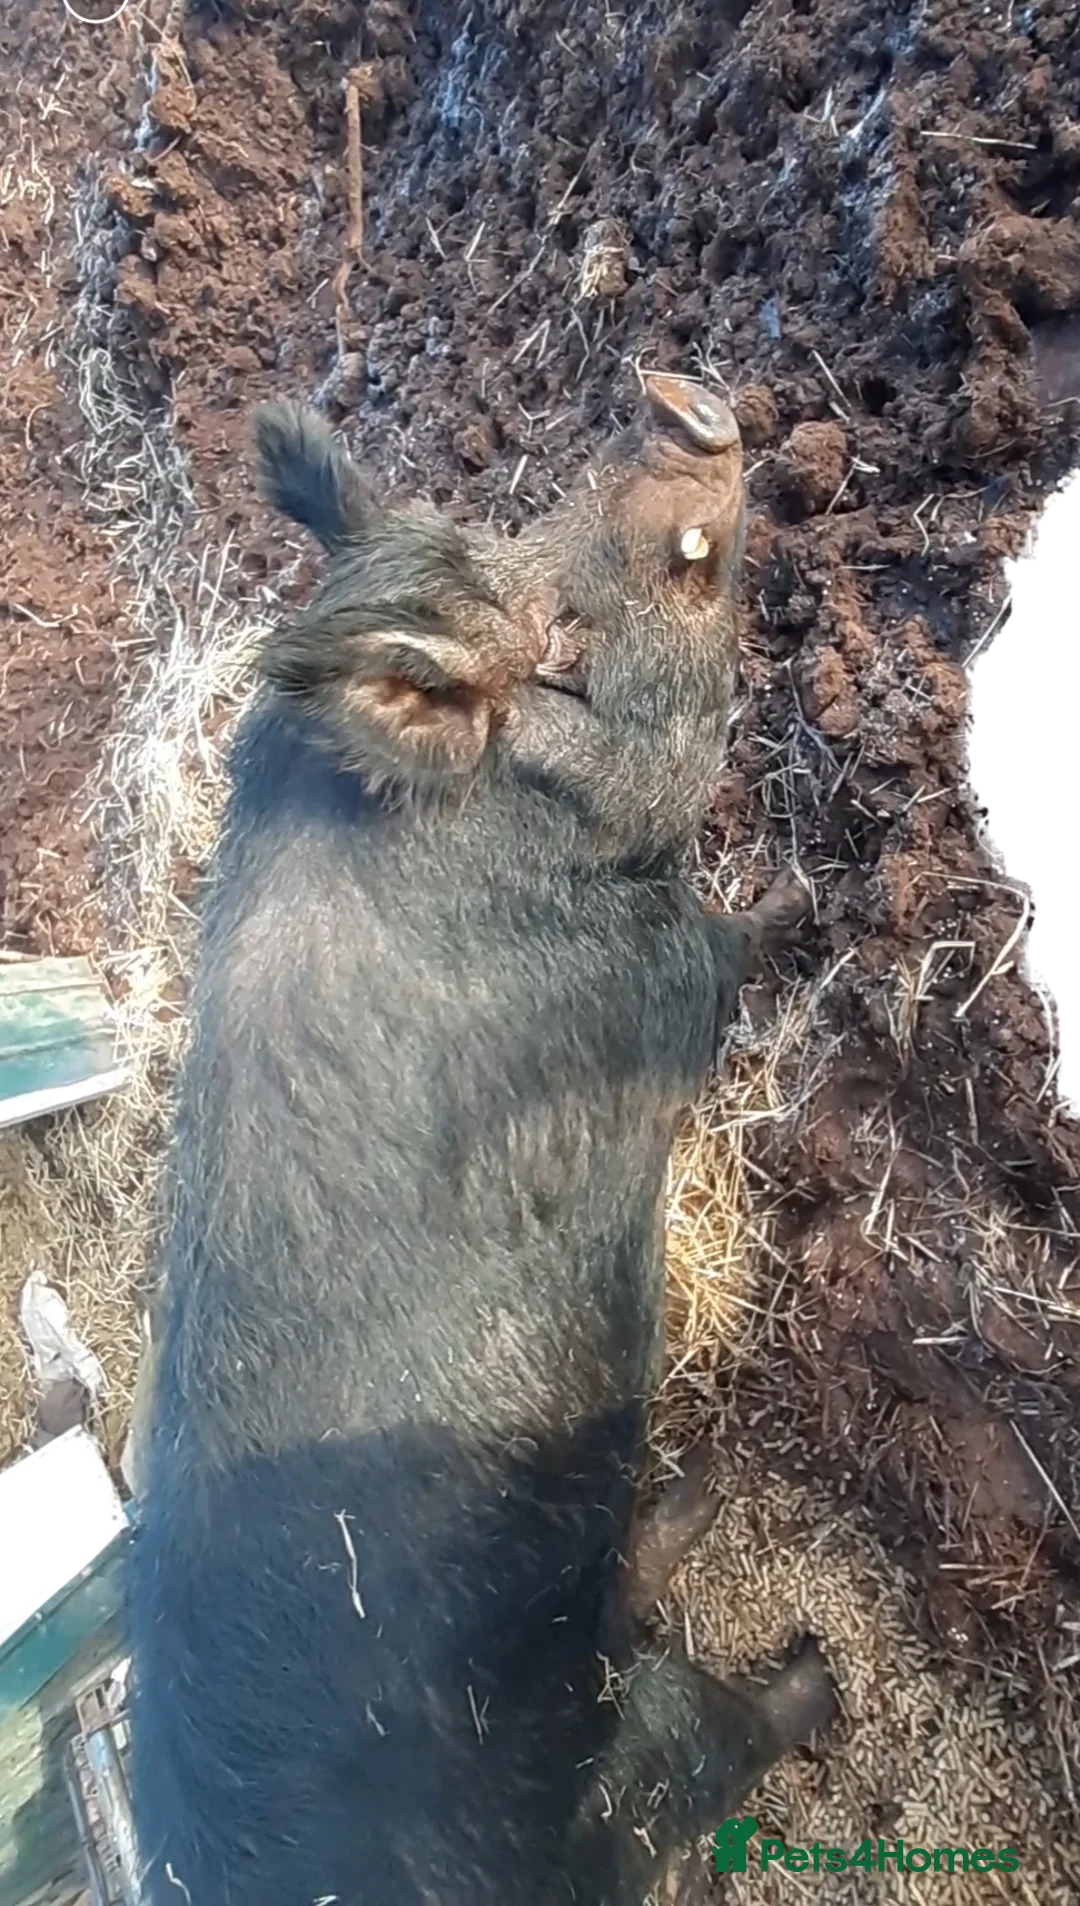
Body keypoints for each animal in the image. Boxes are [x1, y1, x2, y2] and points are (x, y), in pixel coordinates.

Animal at [127, 376, 833, 1906]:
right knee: (716, 1738)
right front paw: (805, 923)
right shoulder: (649, 986)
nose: (673, 404)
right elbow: (727, 956)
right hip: (608, 1764)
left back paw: (693, 1499)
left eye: (513, 523)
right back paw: (817, 1669)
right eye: (557, 645)